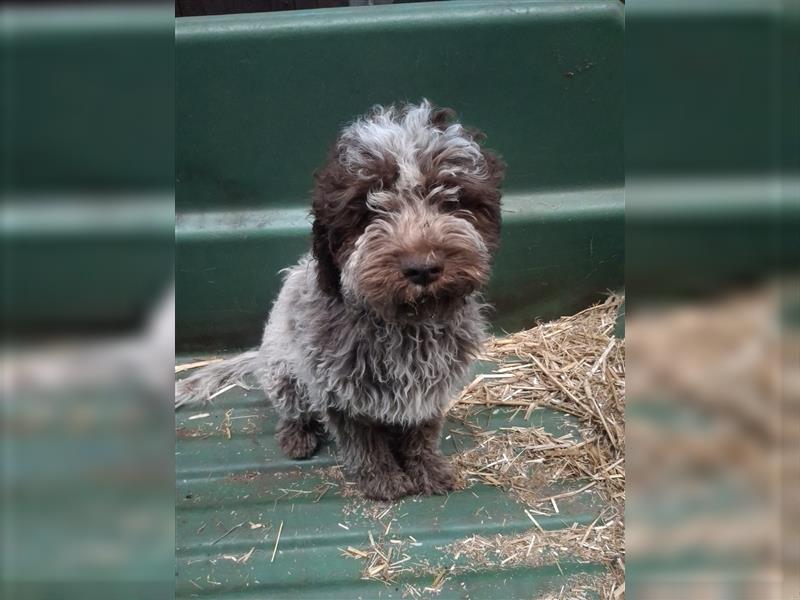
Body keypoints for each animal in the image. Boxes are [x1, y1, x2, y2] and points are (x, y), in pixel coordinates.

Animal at [180, 99, 506, 502]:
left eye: (452, 197)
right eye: (368, 208)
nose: (423, 268)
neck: (404, 324)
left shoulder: (431, 388)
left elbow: (422, 431)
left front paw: (426, 468)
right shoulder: (338, 392)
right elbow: (363, 442)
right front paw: (382, 478)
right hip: (283, 373)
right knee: (291, 410)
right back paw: (296, 436)